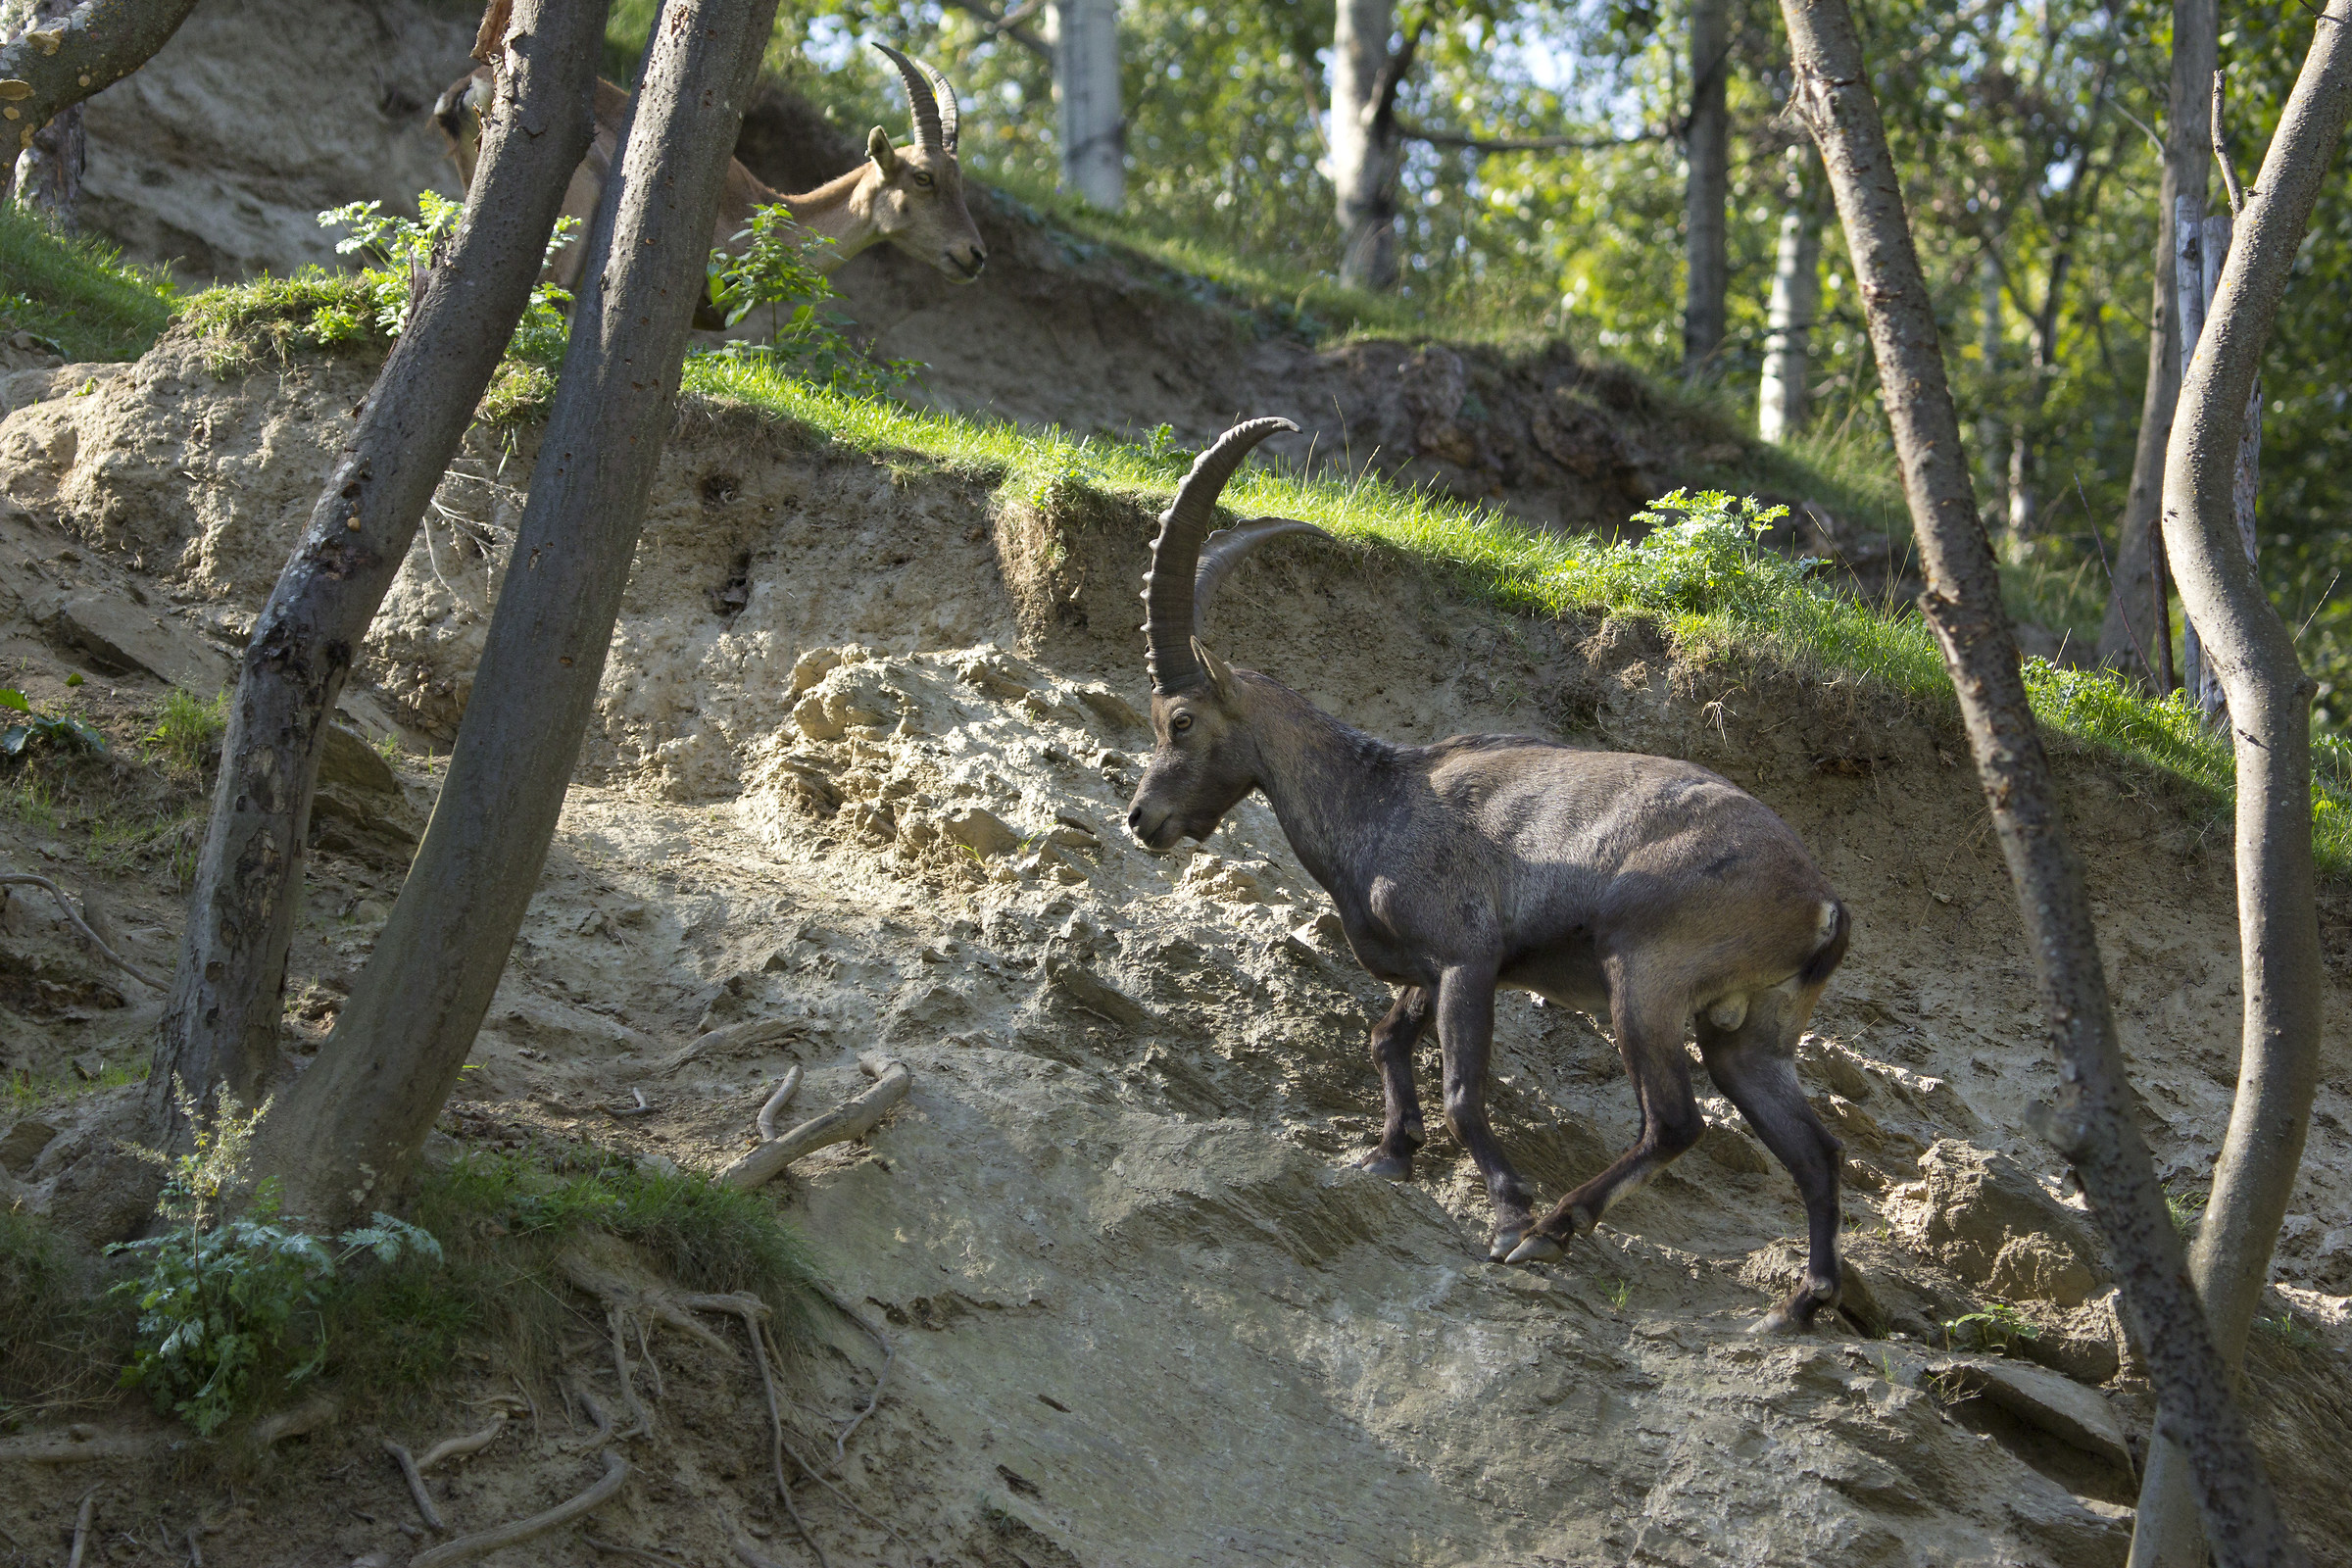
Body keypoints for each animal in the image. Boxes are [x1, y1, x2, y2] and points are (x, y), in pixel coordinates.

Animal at [1124, 418, 1856, 1332]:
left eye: (1181, 721)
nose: (1140, 818)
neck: (1378, 800)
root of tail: (1822, 906)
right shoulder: (1430, 968)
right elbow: (1385, 1039)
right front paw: (1389, 1154)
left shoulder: (1467, 957)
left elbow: (1463, 1089)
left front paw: (1505, 1206)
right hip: (1752, 1034)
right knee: (1815, 1150)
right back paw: (1800, 1304)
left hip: (1646, 977)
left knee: (1675, 1123)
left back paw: (1549, 1230)